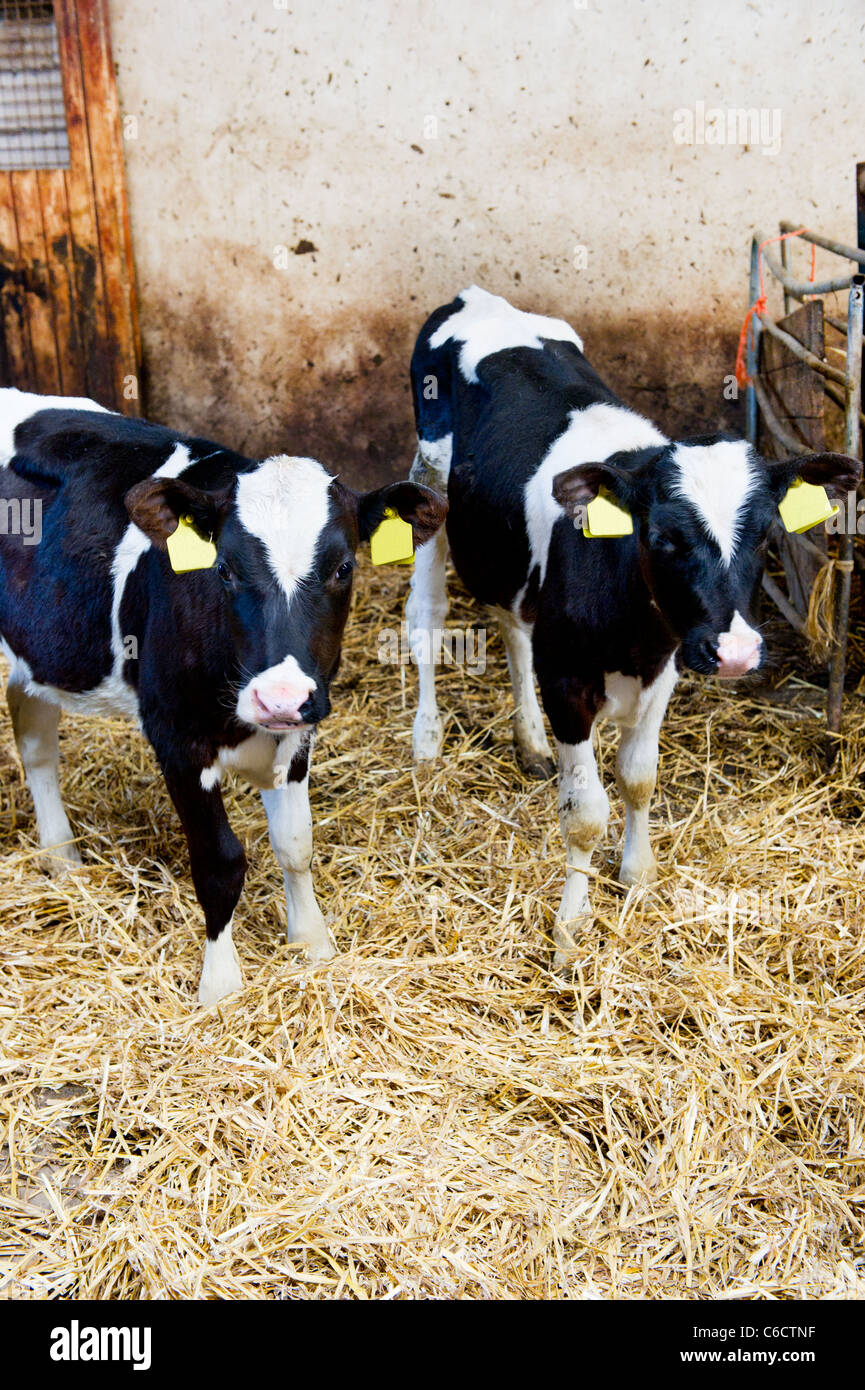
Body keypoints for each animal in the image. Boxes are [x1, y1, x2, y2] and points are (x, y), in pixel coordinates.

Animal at [0, 389, 447, 1003]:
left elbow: (295, 842)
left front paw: (312, 942)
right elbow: (220, 862)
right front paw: (220, 984)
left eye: (343, 567)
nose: (278, 698)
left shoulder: (300, 732)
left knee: (36, 739)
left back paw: (62, 858)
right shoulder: (176, 737)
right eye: (226, 569)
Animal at [404, 286, 860, 968]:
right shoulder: (568, 676)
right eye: (664, 537)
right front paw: (571, 928)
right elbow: (585, 812)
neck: (635, 630)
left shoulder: (666, 661)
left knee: (511, 625)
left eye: (765, 534)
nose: (735, 651)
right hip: (429, 486)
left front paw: (637, 875)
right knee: (427, 620)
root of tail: (475, 296)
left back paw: (529, 742)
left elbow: (639, 777)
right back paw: (428, 743)